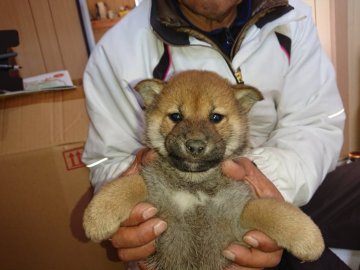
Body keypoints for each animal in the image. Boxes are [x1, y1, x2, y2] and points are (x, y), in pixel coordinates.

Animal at [83, 70, 324, 270]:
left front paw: (308, 237)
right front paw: (98, 216)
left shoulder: (237, 217)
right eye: (176, 116)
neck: (195, 184)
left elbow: (270, 209)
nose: (195, 146)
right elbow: (128, 183)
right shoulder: (155, 196)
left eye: (215, 117)